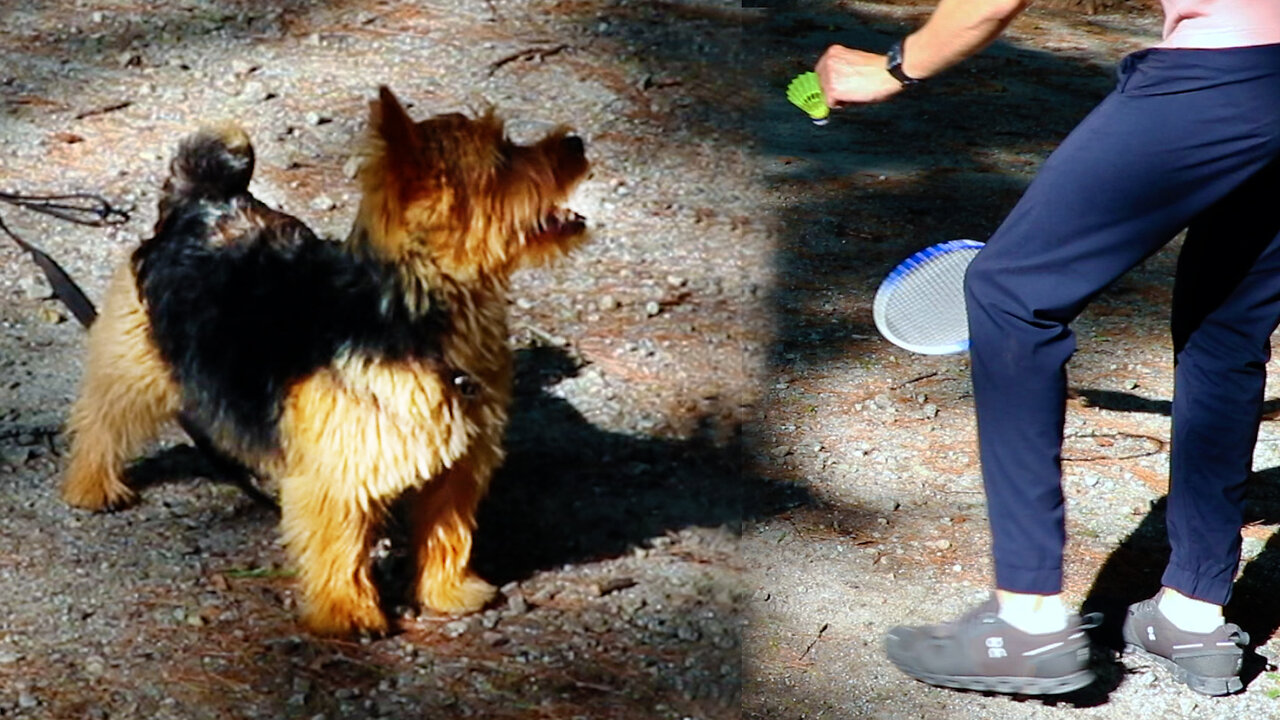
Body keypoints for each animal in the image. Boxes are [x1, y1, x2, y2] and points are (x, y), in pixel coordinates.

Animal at [62, 87, 591, 630]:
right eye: (502, 158)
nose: (575, 143)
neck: (414, 312)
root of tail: (207, 200)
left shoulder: (457, 469)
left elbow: (448, 530)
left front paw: (449, 591)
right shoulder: (340, 476)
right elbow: (341, 548)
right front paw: (348, 612)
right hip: (135, 357)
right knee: (101, 420)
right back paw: (92, 485)